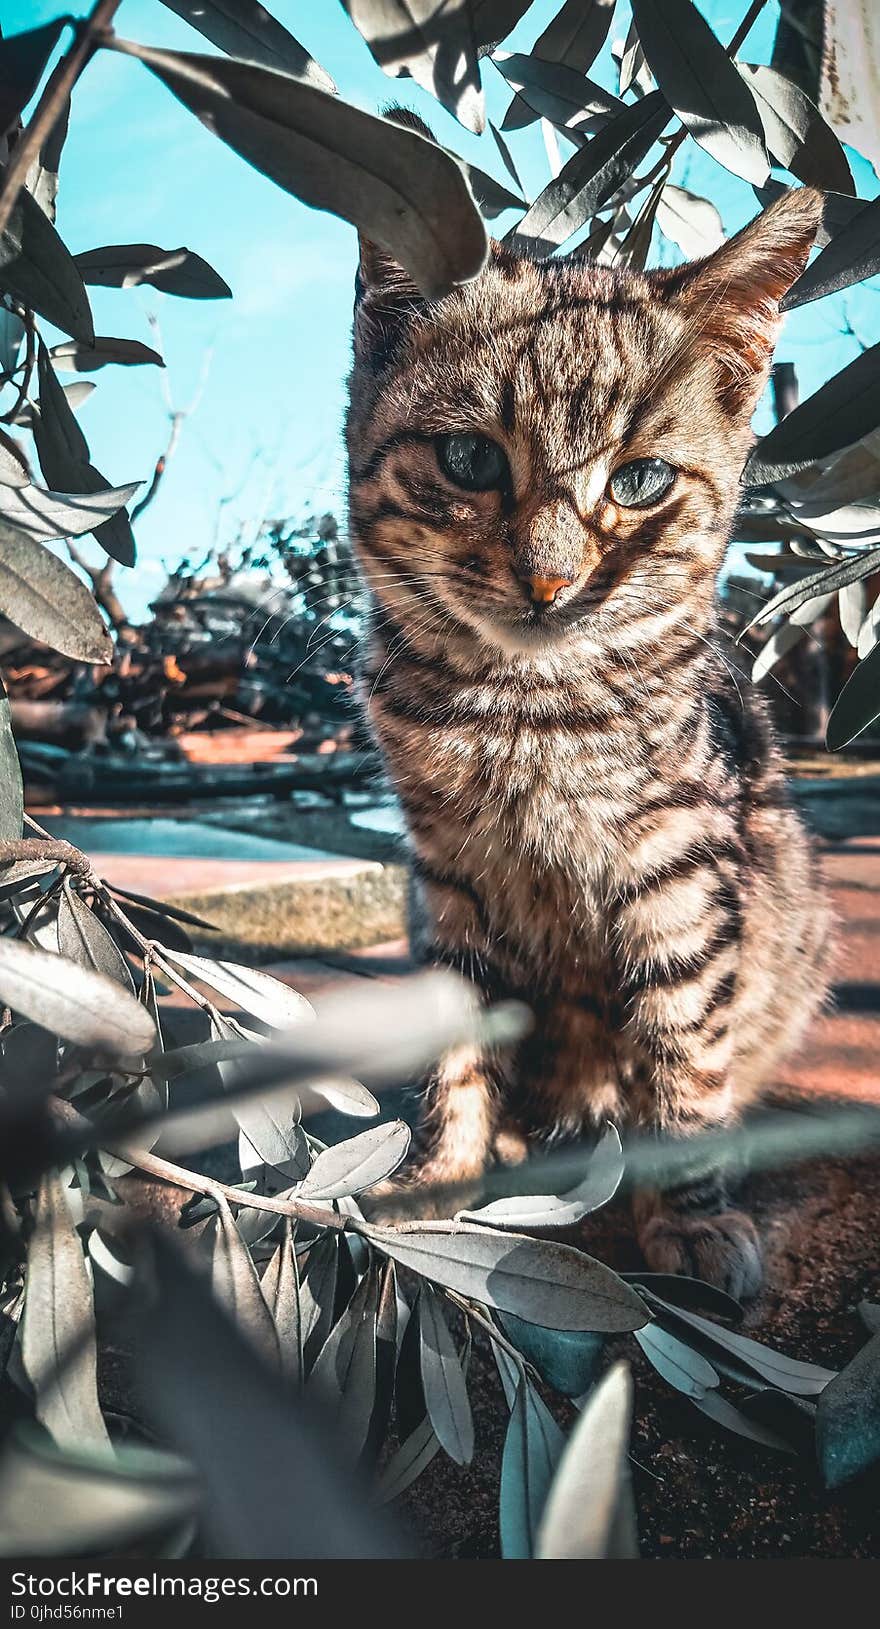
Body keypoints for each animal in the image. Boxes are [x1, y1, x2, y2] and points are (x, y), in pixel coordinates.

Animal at [343, 123, 831, 1296]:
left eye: (641, 480)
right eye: (468, 458)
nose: (549, 580)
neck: (523, 710)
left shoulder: (681, 868)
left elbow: (681, 1041)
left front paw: (692, 1210)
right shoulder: (449, 877)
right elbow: (460, 1030)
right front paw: (441, 1170)